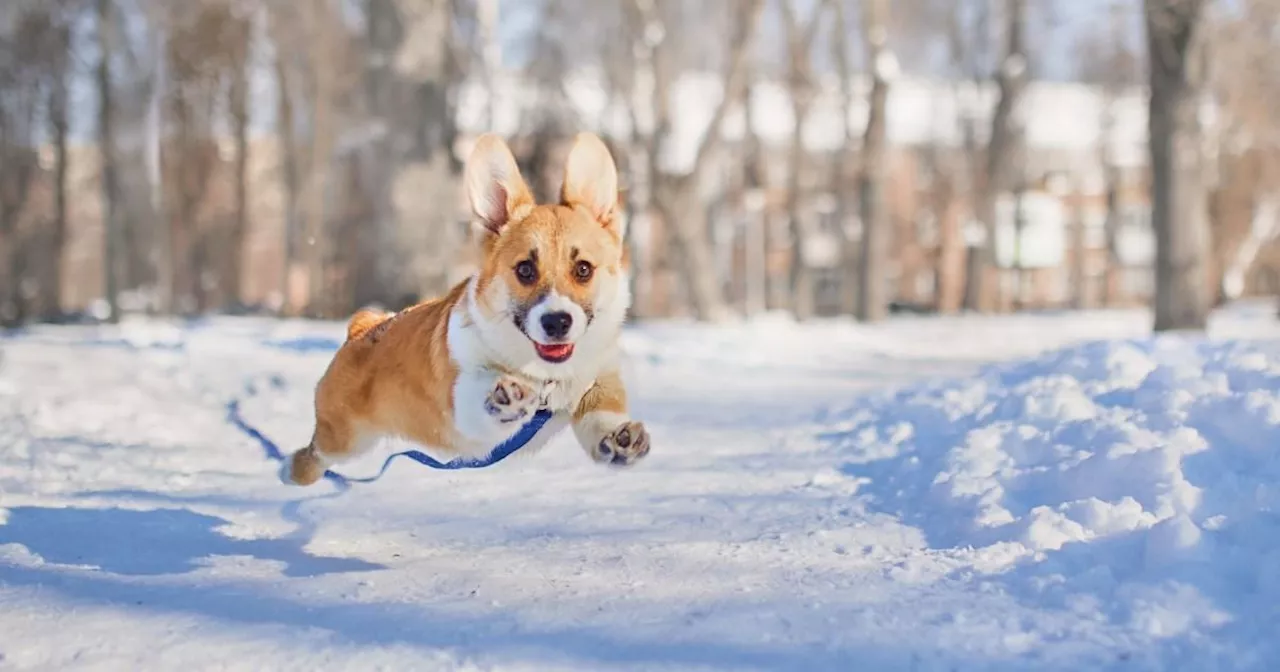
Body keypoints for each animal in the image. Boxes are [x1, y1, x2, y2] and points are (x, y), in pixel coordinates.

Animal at [281, 132, 650, 486]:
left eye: (583, 269)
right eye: (525, 270)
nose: (557, 322)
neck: (547, 378)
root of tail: (363, 326)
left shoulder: (600, 380)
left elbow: (600, 416)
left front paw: (621, 440)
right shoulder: (459, 402)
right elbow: (477, 395)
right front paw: (506, 396)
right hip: (345, 438)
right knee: (311, 457)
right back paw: (288, 473)